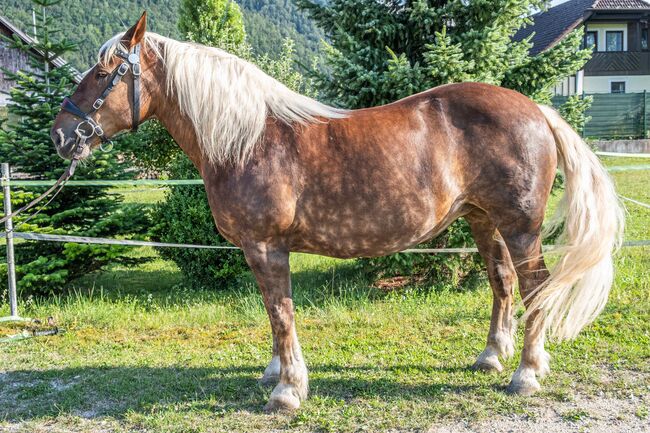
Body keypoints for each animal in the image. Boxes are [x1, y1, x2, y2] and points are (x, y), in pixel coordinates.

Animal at [52, 13, 624, 410]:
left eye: (102, 74)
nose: (60, 135)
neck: (247, 140)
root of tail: (537, 109)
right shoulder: (259, 250)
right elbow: (273, 313)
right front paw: (277, 372)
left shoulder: (266, 247)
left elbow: (281, 312)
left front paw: (287, 390)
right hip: (484, 220)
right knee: (502, 283)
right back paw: (491, 357)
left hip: (521, 226)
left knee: (534, 288)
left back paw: (525, 374)